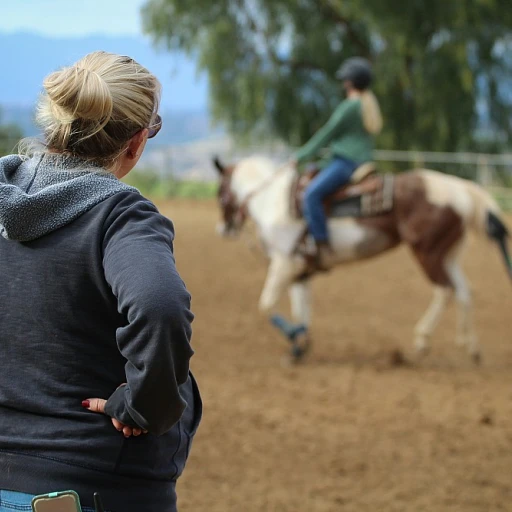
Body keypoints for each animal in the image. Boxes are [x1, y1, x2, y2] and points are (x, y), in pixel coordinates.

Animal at [213, 156, 512, 364]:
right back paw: (470, 347)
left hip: (427, 253)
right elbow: (301, 308)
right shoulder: (301, 269)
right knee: (464, 292)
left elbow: (266, 305)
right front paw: (299, 347)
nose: (223, 229)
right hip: (447, 255)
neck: (272, 201)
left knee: (445, 290)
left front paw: (295, 338)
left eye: (219, 192)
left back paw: (422, 341)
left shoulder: (284, 262)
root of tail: (462, 190)